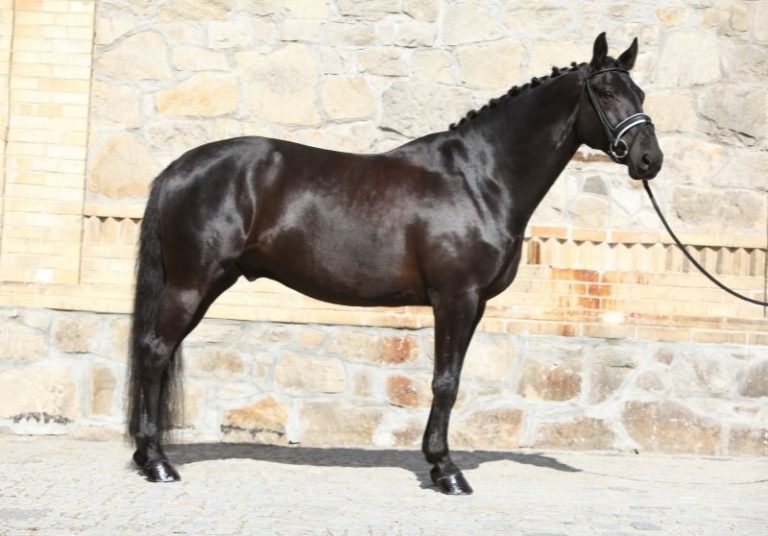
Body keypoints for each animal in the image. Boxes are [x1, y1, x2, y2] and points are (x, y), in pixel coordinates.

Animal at [127, 33, 663, 495]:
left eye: (639, 91)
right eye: (606, 91)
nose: (649, 159)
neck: (480, 180)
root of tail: (176, 169)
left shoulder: (475, 305)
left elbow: (453, 378)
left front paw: (439, 463)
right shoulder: (454, 298)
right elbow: (445, 382)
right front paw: (446, 471)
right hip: (192, 283)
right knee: (154, 352)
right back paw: (156, 462)